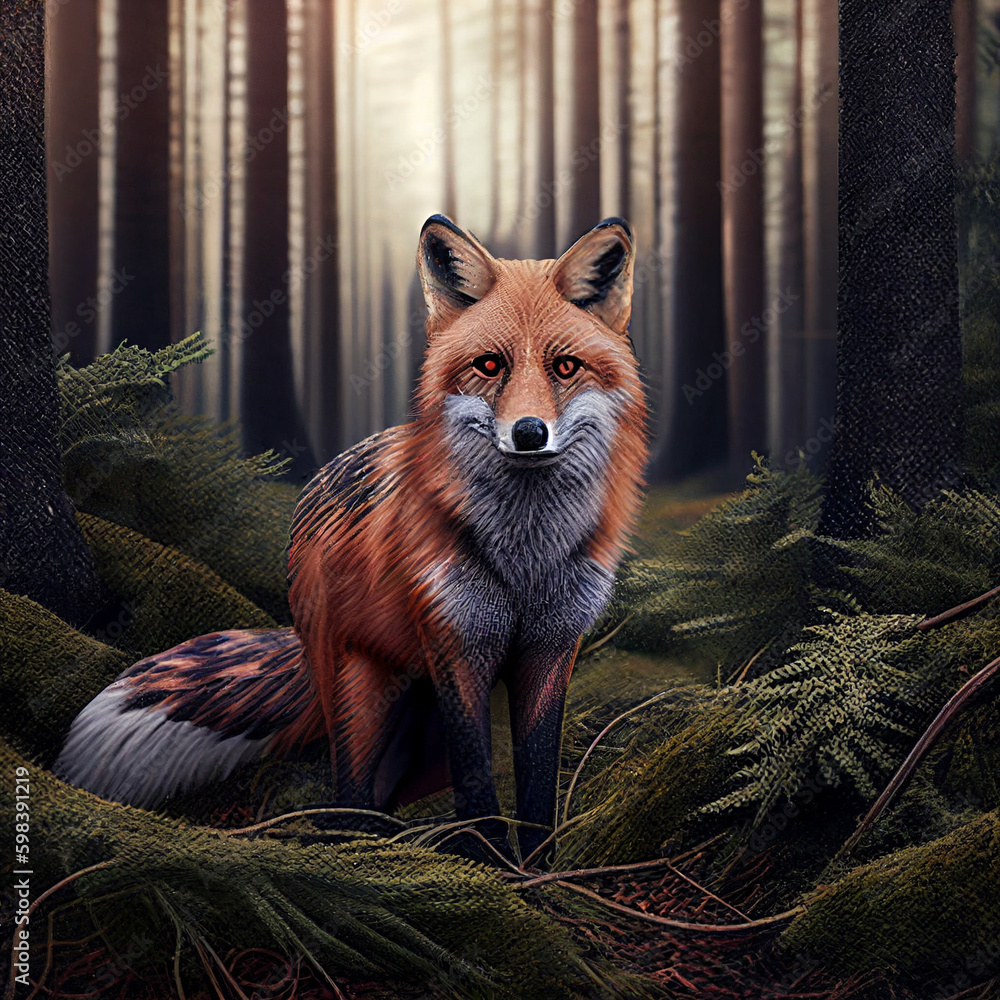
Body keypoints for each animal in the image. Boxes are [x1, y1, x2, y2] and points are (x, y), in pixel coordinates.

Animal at [55, 215, 649, 859]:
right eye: (490, 366)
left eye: (565, 368)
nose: (529, 433)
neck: (526, 557)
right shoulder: (456, 647)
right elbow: (476, 779)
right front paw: (484, 860)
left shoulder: (550, 650)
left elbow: (537, 781)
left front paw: (537, 871)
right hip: (362, 695)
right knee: (345, 798)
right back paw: (366, 847)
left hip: (418, 740)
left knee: (379, 796)